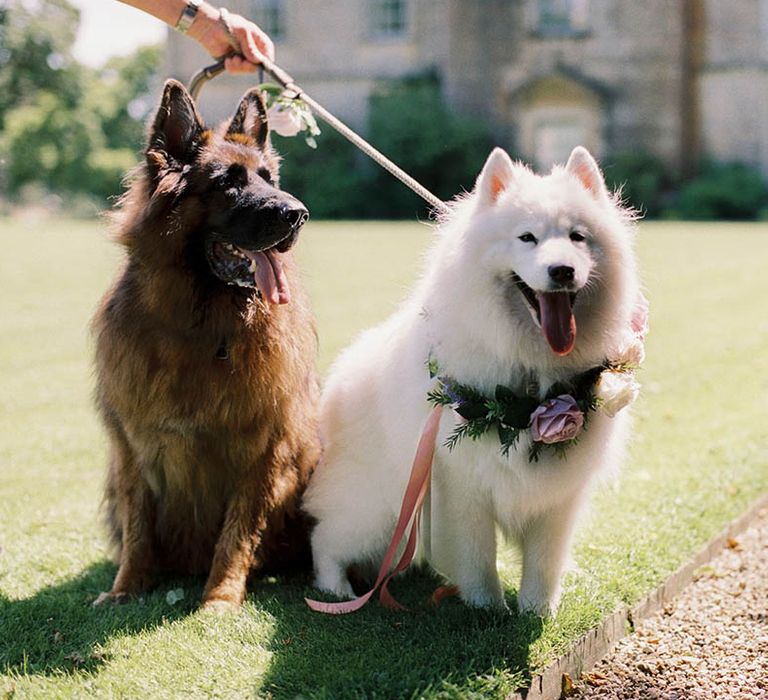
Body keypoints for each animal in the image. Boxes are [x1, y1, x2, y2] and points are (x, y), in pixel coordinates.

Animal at [92, 79, 320, 608]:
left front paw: (219, 597)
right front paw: (126, 588)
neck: (200, 327)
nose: (297, 214)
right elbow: (137, 527)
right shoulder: (131, 449)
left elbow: (238, 531)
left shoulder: (263, 451)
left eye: (268, 179)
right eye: (227, 183)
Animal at [304, 146, 640, 612]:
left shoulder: (557, 498)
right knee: (325, 538)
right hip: (376, 509)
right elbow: (478, 555)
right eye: (527, 238)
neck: (529, 372)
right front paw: (488, 609)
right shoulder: (462, 488)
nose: (562, 270)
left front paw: (537, 611)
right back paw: (336, 590)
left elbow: (544, 561)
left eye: (577, 237)